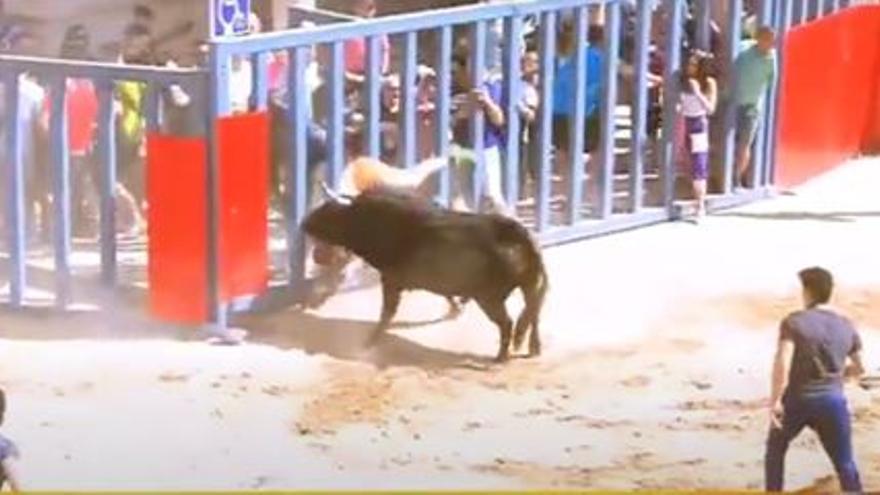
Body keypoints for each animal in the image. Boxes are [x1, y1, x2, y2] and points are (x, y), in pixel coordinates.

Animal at [304, 189, 552, 360]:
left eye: (328, 211)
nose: (304, 223)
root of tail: (519, 234)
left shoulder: (391, 280)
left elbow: (387, 313)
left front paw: (370, 342)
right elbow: (446, 295)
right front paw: (455, 309)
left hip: (489, 298)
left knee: (508, 322)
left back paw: (501, 357)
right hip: (529, 287)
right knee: (533, 315)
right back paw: (534, 348)